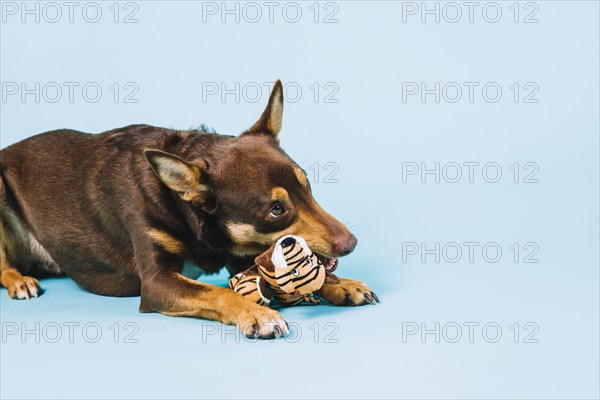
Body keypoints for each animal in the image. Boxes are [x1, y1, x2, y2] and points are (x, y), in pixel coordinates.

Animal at [0, 81, 376, 338]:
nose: (351, 243)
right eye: (276, 210)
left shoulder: (241, 255)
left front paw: (340, 284)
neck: (183, 208)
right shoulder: (157, 283)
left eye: (307, 185)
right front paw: (256, 314)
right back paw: (19, 280)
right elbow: (215, 292)